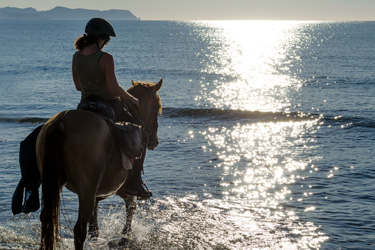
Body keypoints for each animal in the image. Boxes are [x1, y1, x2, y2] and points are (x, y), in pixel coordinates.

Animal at [35, 79, 163, 249]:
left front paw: (97, 237)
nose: (155, 140)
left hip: (54, 182)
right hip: (86, 190)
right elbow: (131, 206)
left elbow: (95, 221)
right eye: (157, 108)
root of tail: (62, 122)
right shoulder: (122, 188)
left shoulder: (98, 191)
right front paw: (125, 237)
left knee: (46, 217)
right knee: (79, 229)